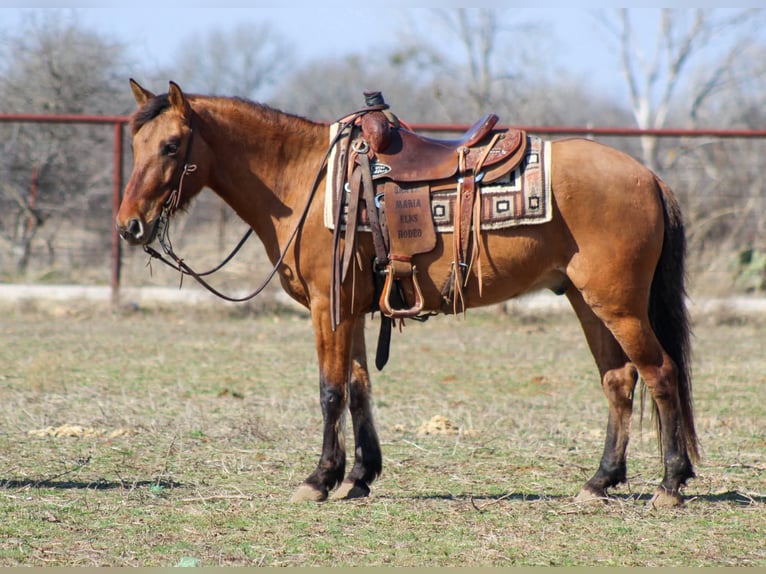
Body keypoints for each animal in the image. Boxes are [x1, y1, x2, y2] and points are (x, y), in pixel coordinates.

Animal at [117, 81, 700, 508]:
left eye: (171, 145)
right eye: (136, 145)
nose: (130, 226)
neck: (305, 179)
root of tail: (647, 176)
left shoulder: (329, 308)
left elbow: (330, 391)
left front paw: (319, 479)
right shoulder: (352, 310)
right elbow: (358, 388)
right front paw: (359, 476)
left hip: (618, 306)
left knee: (660, 373)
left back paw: (671, 485)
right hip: (587, 303)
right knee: (619, 381)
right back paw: (599, 482)